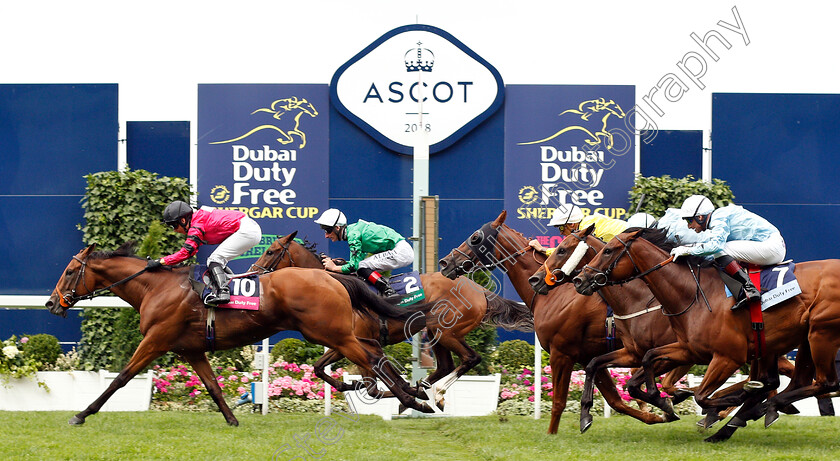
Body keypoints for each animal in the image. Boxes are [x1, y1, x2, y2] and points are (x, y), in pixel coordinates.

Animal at [44, 243, 440, 426]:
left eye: (69, 272)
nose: (51, 303)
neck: (155, 287)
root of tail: (330, 276)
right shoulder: (191, 350)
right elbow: (213, 386)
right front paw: (233, 419)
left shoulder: (156, 340)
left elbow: (121, 378)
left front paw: (81, 414)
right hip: (335, 335)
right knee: (374, 360)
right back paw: (414, 397)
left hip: (335, 335)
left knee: (374, 361)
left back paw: (414, 399)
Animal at [246, 232, 532, 408]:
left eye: (270, 251)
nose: (252, 272)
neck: (335, 287)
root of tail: (480, 290)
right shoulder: (345, 342)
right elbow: (320, 368)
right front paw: (351, 384)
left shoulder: (357, 341)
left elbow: (376, 381)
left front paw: (400, 393)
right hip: (436, 333)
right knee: (445, 365)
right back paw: (423, 388)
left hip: (446, 331)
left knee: (470, 358)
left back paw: (435, 394)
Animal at [436, 210, 680, 434]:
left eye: (475, 237)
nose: (445, 262)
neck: (556, 294)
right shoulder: (588, 356)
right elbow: (615, 400)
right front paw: (659, 415)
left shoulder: (561, 353)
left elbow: (558, 402)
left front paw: (552, 434)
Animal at [528, 225, 796, 434]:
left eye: (562, 249)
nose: (536, 279)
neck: (638, 299)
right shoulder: (634, 352)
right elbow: (607, 371)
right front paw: (586, 416)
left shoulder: (671, 354)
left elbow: (641, 384)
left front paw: (673, 402)